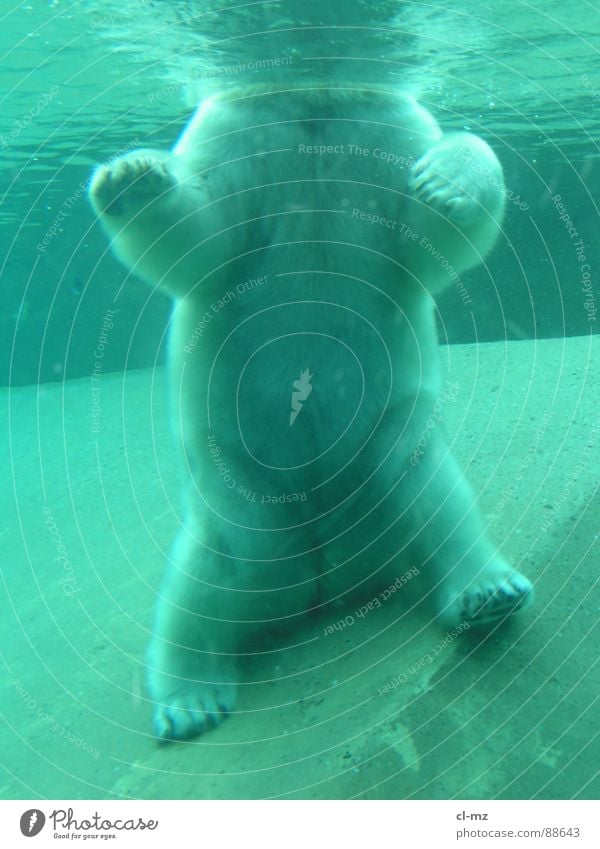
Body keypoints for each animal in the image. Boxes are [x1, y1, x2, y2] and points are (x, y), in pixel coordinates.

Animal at [90, 83, 536, 740]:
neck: (313, 102)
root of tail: (327, 581)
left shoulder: (388, 130)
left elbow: (427, 233)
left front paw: (444, 180)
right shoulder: (236, 134)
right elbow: (203, 237)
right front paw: (131, 175)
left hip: (387, 450)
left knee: (437, 500)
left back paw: (487, 590)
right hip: (237, 493)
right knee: (208, 574)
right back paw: (190, 699)